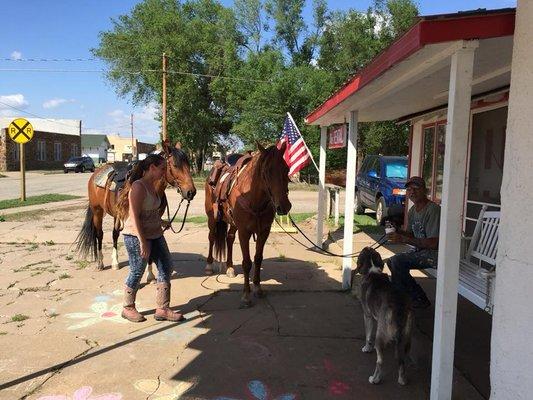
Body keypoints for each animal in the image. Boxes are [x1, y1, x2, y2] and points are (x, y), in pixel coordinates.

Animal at [76, 139, 196, 274]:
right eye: (175, 165)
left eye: (188, 165)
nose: (191, 192)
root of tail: (95, 174)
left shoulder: (155, 219)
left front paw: (150, 272)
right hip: (98, 211)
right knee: (100, 234)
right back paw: (101, 263)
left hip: (116, 215)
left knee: (114, 234)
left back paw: (114, 262)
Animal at [206, 143, 294, 306]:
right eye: (266, 171)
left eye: (286, 169)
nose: (284, 206)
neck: (254, 197)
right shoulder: (244, 232)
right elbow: (247, 262)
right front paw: (246, 295)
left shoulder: (264, 231)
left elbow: (258, 259)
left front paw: (258, 288)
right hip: (212, 218)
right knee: (212, 237)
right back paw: (208, 266)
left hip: (233, 223)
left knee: (229, 238)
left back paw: (230, 268)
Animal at [352, 247, 414, 384]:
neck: (372, 269)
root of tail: (398, 306)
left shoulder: (367, 315)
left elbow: (368, 336)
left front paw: (366, 348)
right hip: (407, 337)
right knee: (402, 359)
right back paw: (402, 379)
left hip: (379, 337)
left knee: (380, 361)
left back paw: (374, 379)